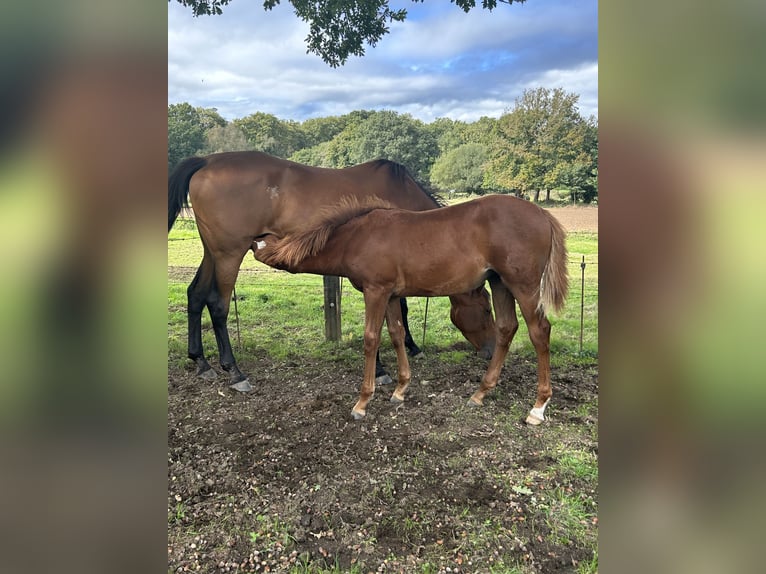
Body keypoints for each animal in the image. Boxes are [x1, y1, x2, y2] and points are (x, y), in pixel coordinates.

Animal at [166, 152, 498, 392]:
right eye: (485, 309)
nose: (491, 349)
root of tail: (208, 161)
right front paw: (383, 368)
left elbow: (397, 309)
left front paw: (410, 346)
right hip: (229, 255)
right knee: (218, 305)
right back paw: (234, 372)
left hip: (212, 253)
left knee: (195, 295)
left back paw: (201, 362)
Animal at [258, 196, 568, 426]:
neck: (357, 236)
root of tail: (542, 214)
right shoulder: (391, 295)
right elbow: (396, 334)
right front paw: (400, 390)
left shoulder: (376, 291)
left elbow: (371, 339)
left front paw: (363, 401)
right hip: (500, 282)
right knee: (507, 328)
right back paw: (481, 392)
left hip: (523, 285)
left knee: (539, 331)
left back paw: (537, 408)